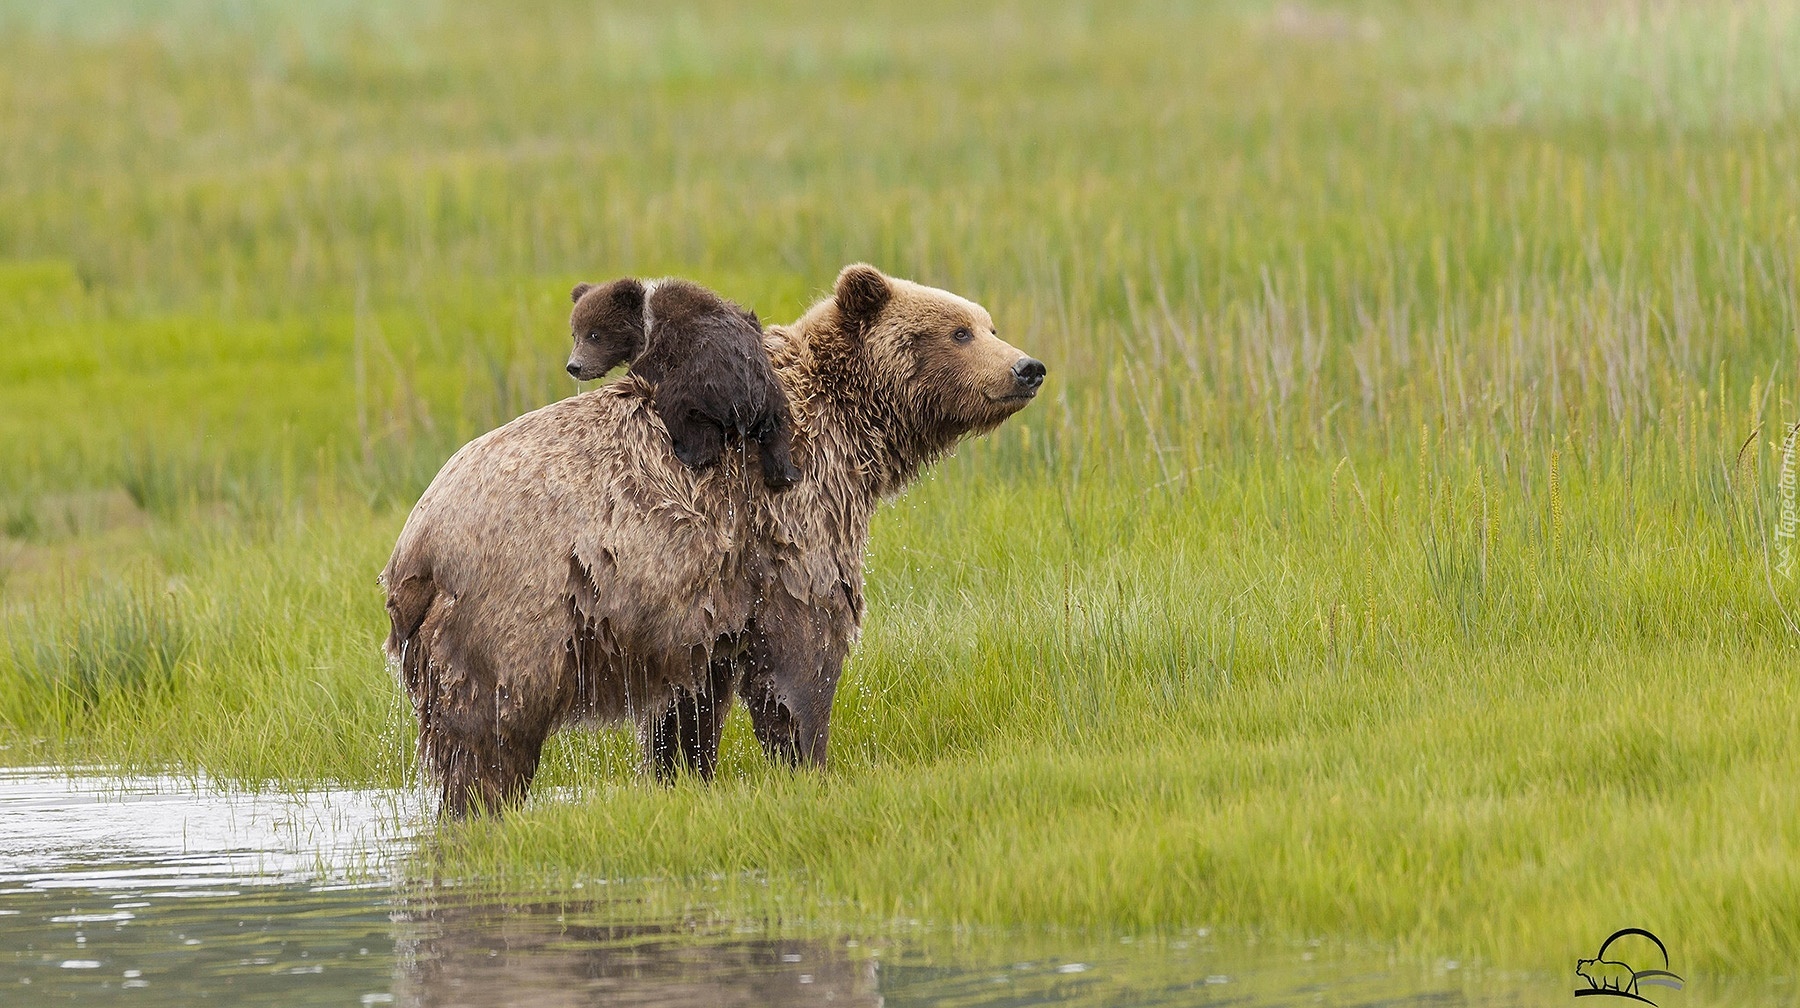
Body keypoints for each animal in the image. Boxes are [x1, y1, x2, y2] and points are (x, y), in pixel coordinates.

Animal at [387, 264, 1051, 813]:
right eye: (959, 332)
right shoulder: (788, 524)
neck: (852, 430)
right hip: (517, 608)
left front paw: (684, 775)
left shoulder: (699, 602)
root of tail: (412, 550)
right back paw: (485, 803)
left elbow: (691, 704)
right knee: (492, 727)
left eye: (987, 323)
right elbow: (803, 653)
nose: (1028, 367)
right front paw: (808, 760)